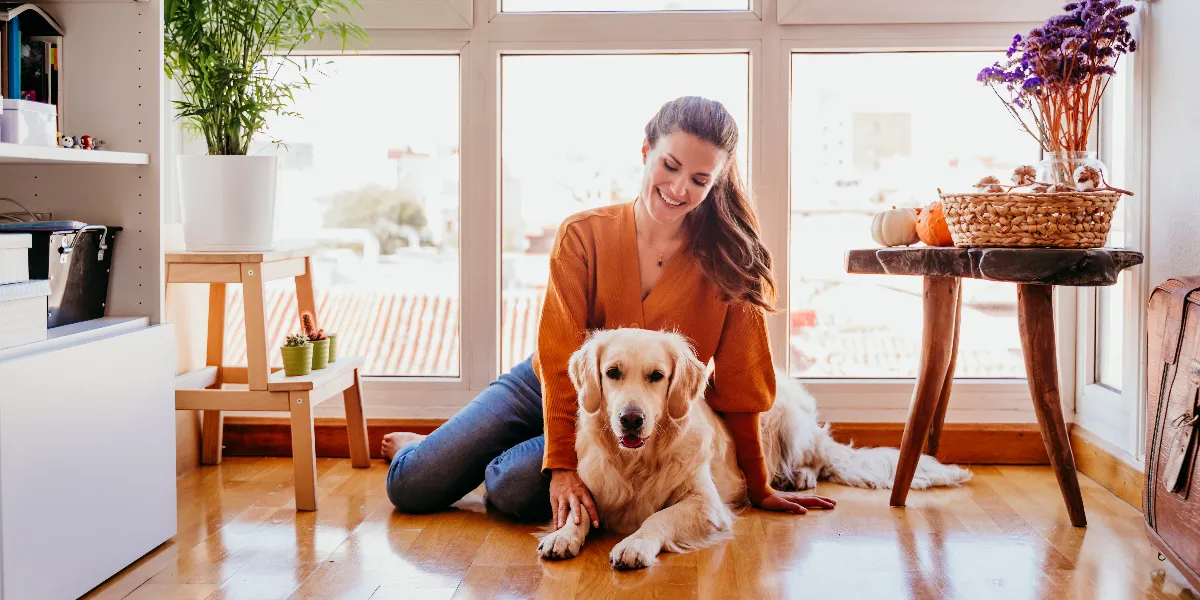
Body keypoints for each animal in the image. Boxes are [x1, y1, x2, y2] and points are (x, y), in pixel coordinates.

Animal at [540, 326, 969, 568]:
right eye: (612, 373)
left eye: (656, 376)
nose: (631, 419)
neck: (636, 460)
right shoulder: (591, 487)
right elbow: (577, 511)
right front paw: (563, 536)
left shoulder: (706, 504)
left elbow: (658, 518)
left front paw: (635, 545)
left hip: (782, 418)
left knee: (816, 460)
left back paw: (798, 478)